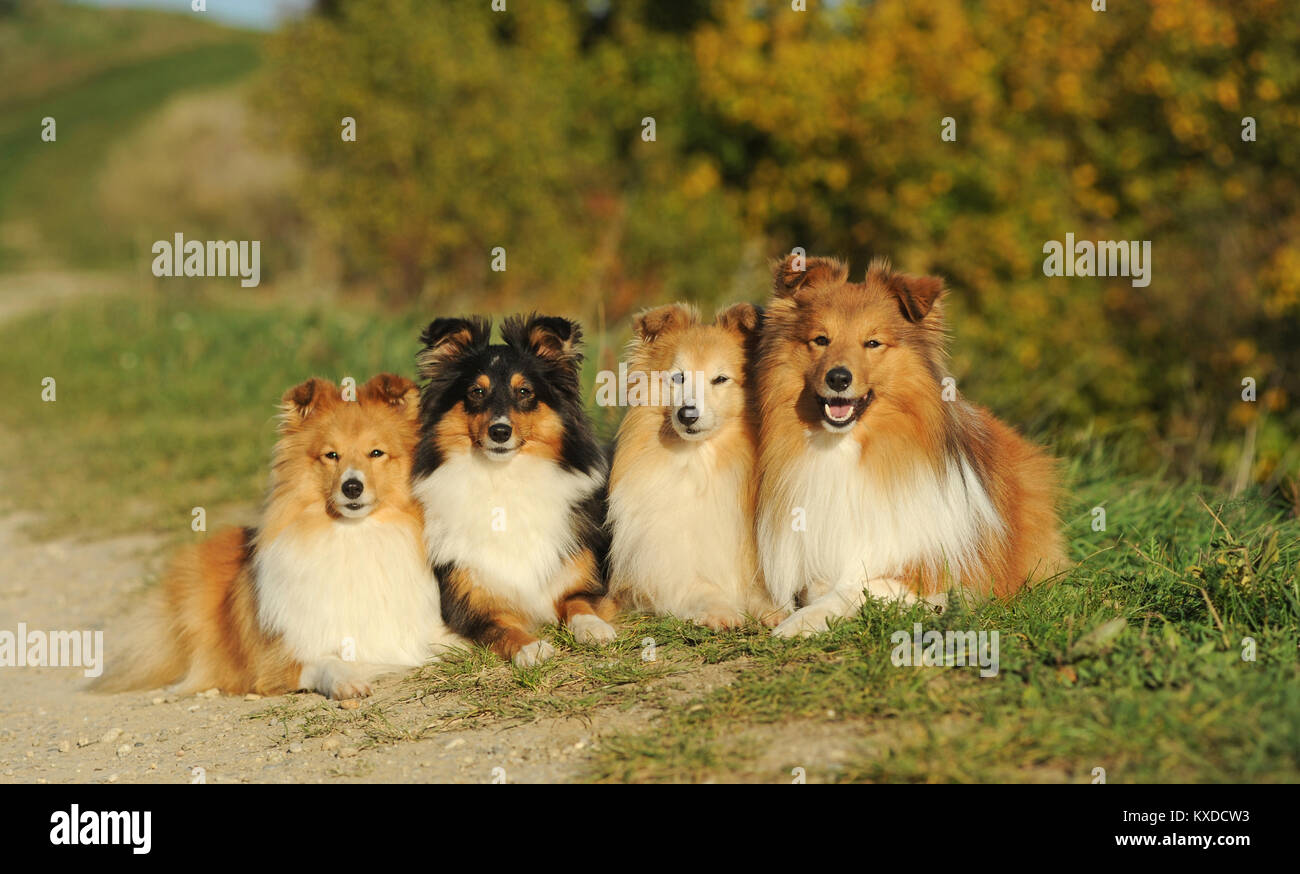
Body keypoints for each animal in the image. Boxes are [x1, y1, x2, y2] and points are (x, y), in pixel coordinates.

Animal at [416, 314, 618, 663]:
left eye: (524, 391)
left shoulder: (582, 579)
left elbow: (579, 601)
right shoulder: (472, 606)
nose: (499, 432)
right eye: (476, 391)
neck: (504, 477)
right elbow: (503, 628)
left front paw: (593, 627)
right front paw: (531, 647)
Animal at [754, 252, 1066, 634]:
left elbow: (857, 586)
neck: (849, 449)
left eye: (873, 343)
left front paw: (801, 622)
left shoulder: (947, 573)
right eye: (821, 339)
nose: (838, 378)